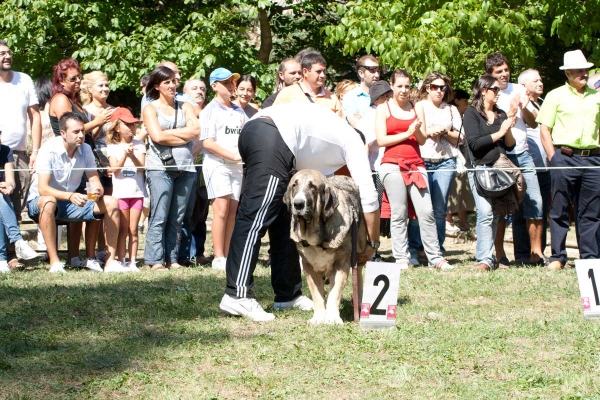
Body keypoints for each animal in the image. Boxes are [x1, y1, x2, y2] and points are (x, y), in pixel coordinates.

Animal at [284, 168, 368, 322]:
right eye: (294, 185)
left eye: (312, 187)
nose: (298, 204)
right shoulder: (309, 267)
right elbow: (317, 295)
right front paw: (318, 317)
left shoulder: (341, 264)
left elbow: (335, 293)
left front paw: (333, 318)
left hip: (359, 249)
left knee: (358, 273)